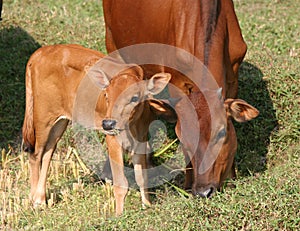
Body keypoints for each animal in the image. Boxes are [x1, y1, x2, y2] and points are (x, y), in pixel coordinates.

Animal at [21, 44, 173, 216]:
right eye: (106, 95)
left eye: (134, 98)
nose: (108, 123)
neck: (131, 126)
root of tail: (42, 51)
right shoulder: (112, 139)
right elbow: (121, 183)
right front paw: (119, 215)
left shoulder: (141, 139)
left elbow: (142, 178)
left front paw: (147, 206)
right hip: (43, 117)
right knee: (35, 154)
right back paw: (36, 200)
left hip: (60, 121)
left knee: (48, 151)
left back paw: (41, 197)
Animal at [102, 0, 258, 199]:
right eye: (182, 138)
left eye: (222, 132)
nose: (203, 191)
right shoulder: (176, 84)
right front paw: (187, 185)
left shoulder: (233, 75)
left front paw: (232, 178)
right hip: (113, 45)